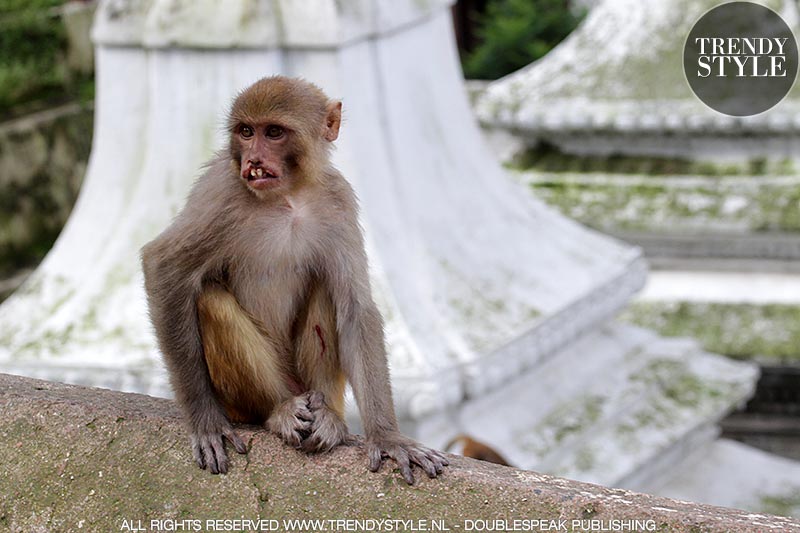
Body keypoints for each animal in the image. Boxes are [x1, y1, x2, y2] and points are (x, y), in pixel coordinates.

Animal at [140, 77, 446, 484]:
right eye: (246, 132)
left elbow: (354, 307)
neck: (288, 197)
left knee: (326, 293)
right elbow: (163, 266)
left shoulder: (339, 201)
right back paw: (279, 412)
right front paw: (206, 422)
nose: (253, 160)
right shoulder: (220, 190)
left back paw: (328, 419)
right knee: (209, 298)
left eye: (274, 132)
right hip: (244, 396)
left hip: (312, 383)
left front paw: (387, 436)